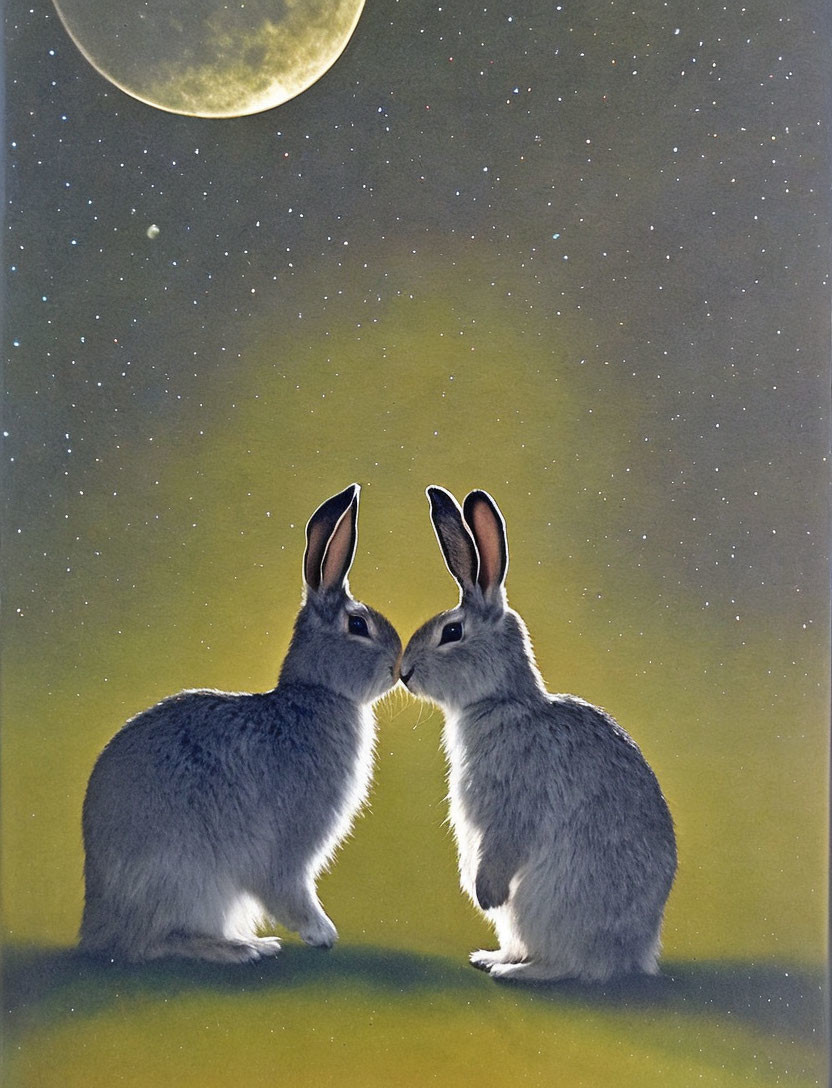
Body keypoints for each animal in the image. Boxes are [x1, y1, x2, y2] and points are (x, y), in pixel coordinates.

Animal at [79, 483, 400, 961]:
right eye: (358, 625)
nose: (399, 668)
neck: (317, 691)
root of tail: (96, 928)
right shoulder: (290, 845)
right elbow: (287, 888)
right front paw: (322, 933)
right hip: (189, 877)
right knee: (156, 943)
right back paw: (241, 948)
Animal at [400, 489, 678, 983]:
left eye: (452, 632)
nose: (404, 673)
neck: (503, 701)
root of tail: (632, 955)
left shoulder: (512, 799)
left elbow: (506, 840)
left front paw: (484, 895)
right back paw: (492, 957)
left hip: (542, 901)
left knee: (569, 966)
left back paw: (511, 971)